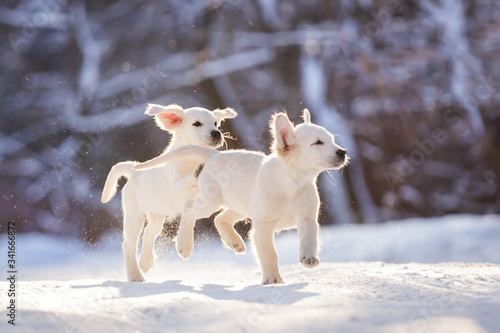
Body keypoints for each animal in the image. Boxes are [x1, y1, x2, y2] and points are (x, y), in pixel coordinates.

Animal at [100, 103, 237, 280]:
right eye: (197, 123)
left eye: (215, 123)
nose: (217, 133)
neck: (192, 159)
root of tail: (134, 171)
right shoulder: (176, 189)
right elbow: (187, 185)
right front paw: (185, 245)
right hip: (134, 215)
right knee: (128, 245)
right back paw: (135, 276)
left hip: (157, 214)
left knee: (149, 232)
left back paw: (146, 262)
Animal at [135, 109, 350, 282]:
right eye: (318, 143)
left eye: (332, 139)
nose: (343, 152)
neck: (293, 183)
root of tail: (214, 155)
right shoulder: (262, 227)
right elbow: (269, 254)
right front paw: (272, 279)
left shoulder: (307, 218)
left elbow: (309, 239)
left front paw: (309, 258)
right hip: (211, 202)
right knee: (190, 211)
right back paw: (184, 245)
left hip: (240, 205)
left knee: (221, 218)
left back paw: (234, 242)